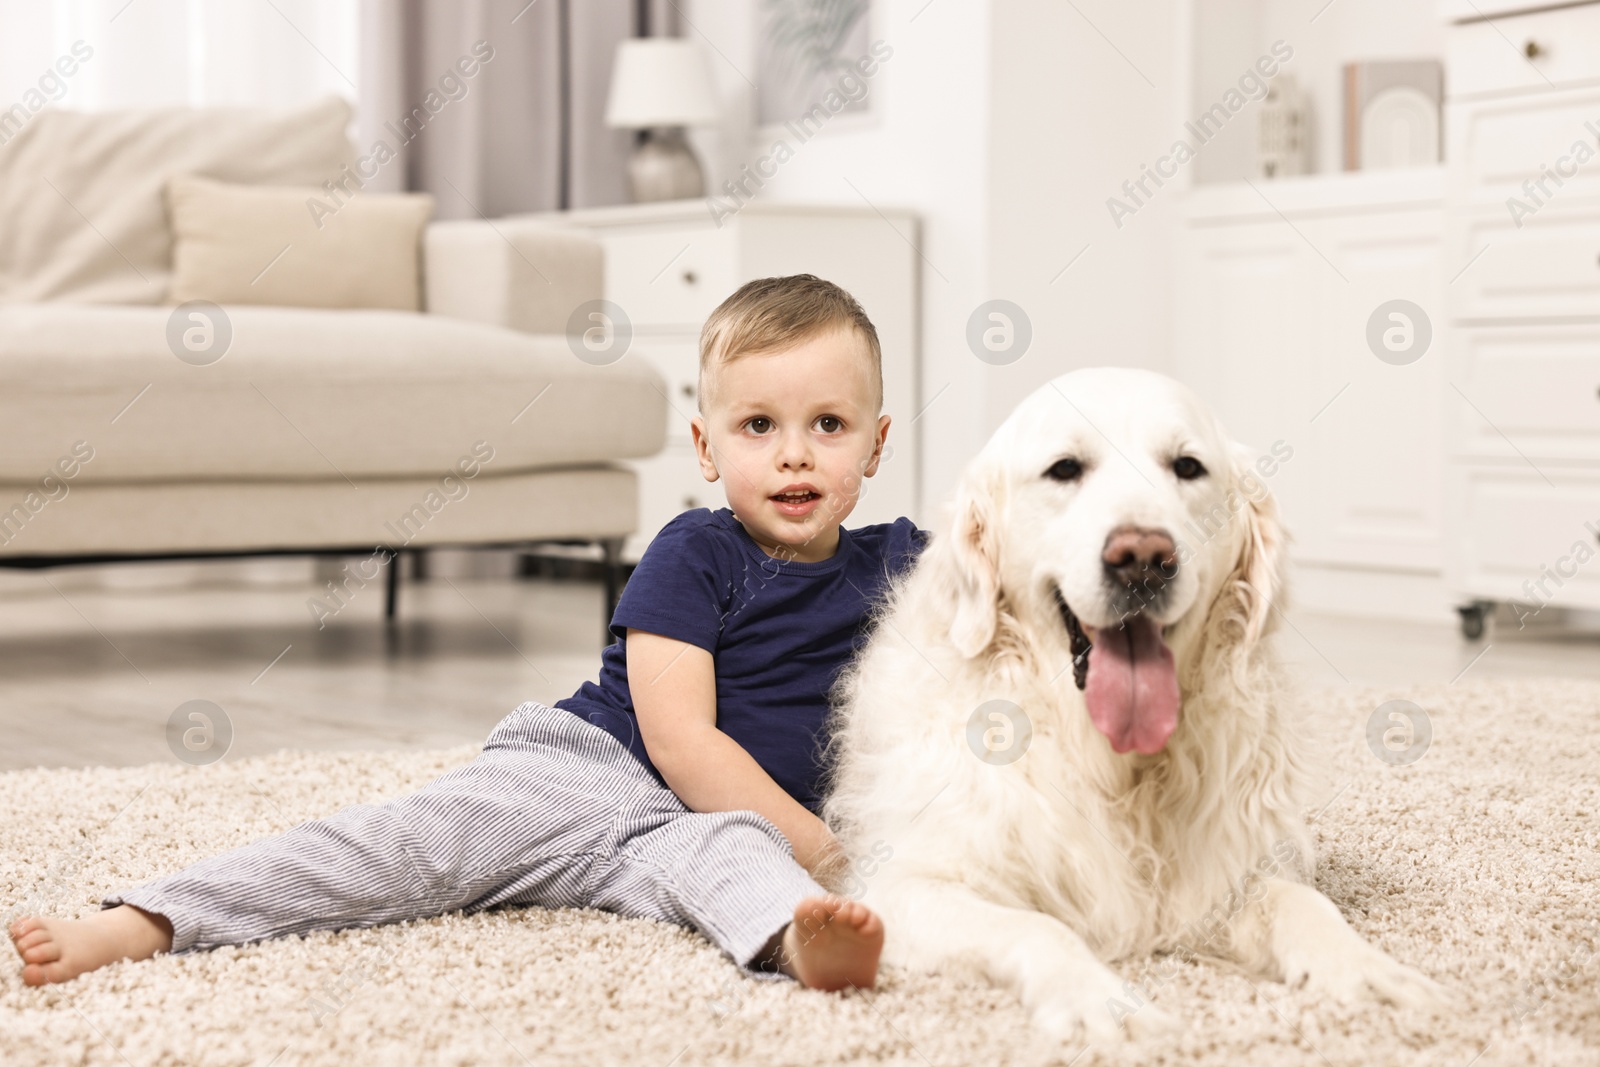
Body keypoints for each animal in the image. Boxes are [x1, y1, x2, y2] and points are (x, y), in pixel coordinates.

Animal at [825, 367, 1452, 1043]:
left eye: (1188, 467)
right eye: (1065, 469)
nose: (1144, 559)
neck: (1112, 761)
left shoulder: (1225, 874)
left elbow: (1300, 902)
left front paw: (1365, 968)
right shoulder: (900, 886)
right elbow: (1037, 927)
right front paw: (1096, 1001)